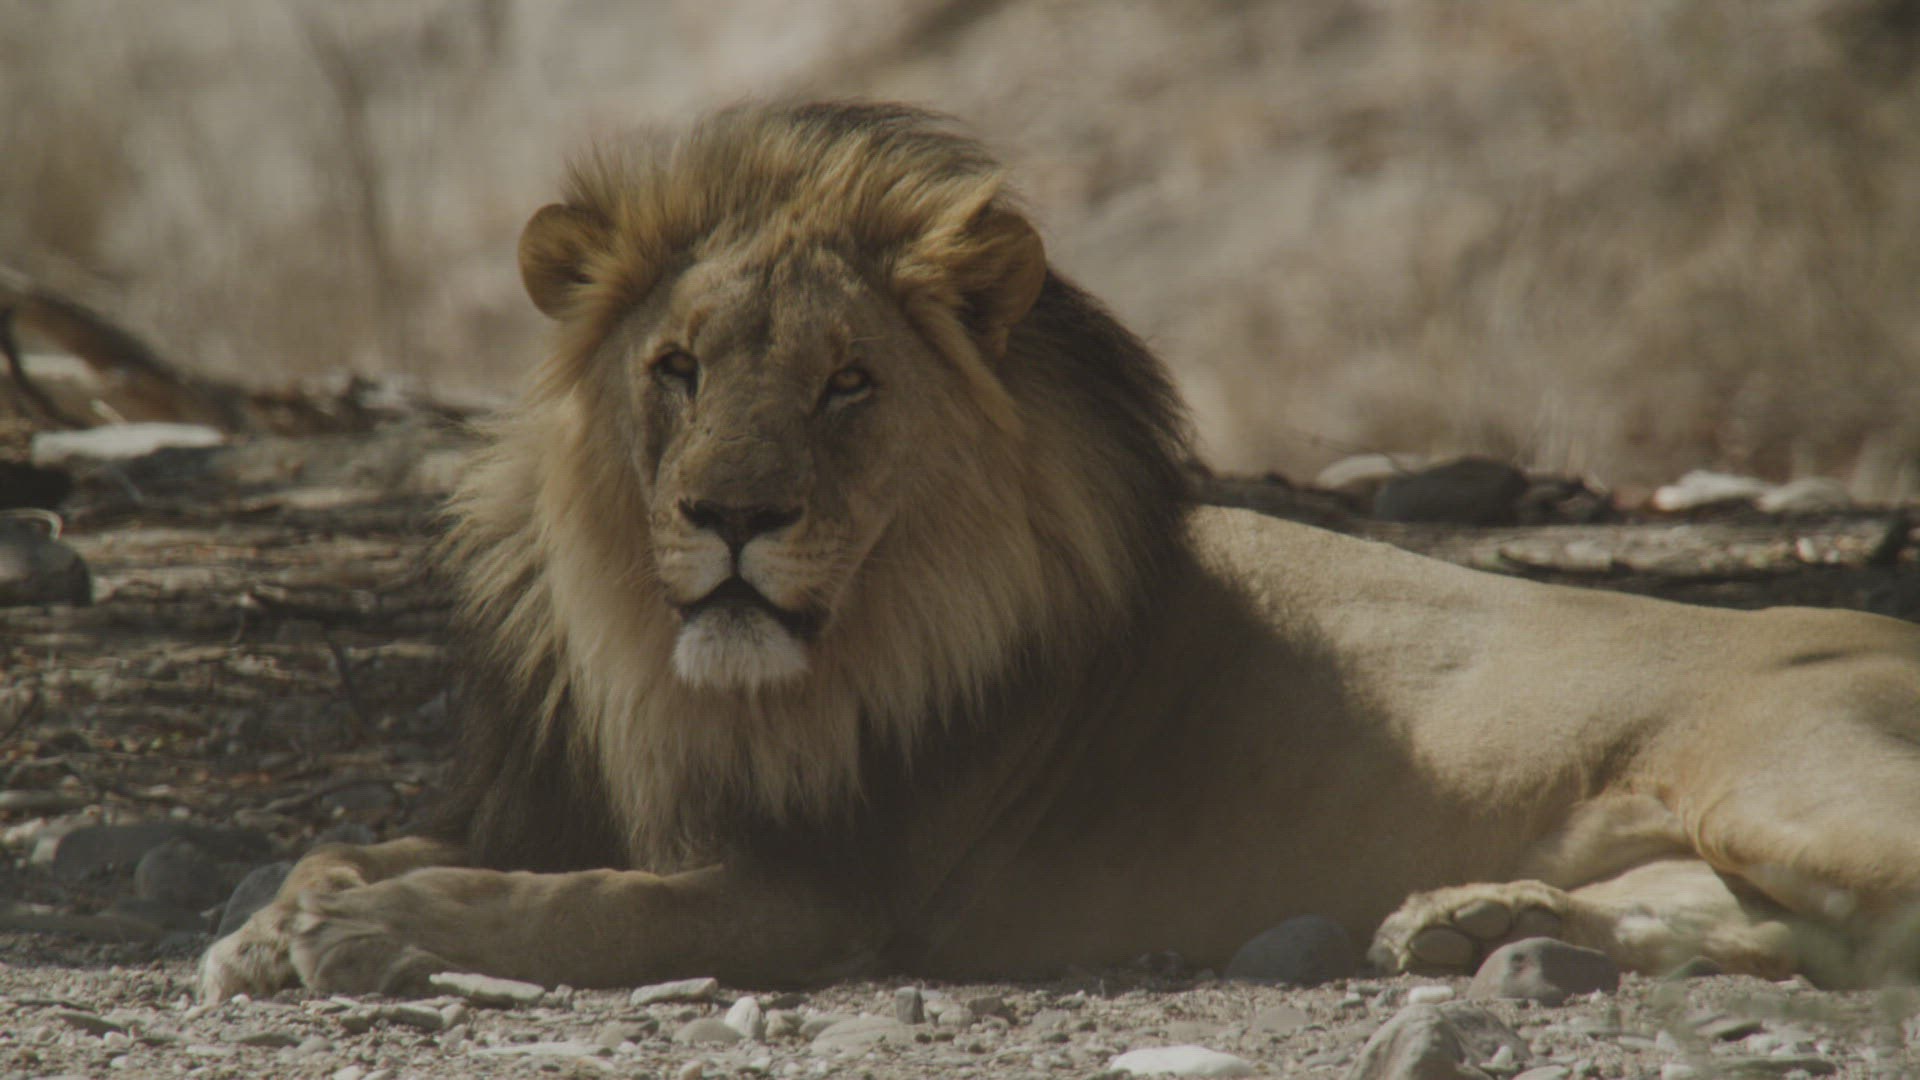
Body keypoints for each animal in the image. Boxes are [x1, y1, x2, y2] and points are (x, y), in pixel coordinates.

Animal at [201, 102, 1920, 999]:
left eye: (847, 384)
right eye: (675, 370)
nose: (733, 519)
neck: (666, 669)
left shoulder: (823, 893)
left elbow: (574, 908)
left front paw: (359, 930)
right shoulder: (573, 797)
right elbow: (387, 845)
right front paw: (284, 912)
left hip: (1783, 770)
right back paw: (1476, 924)